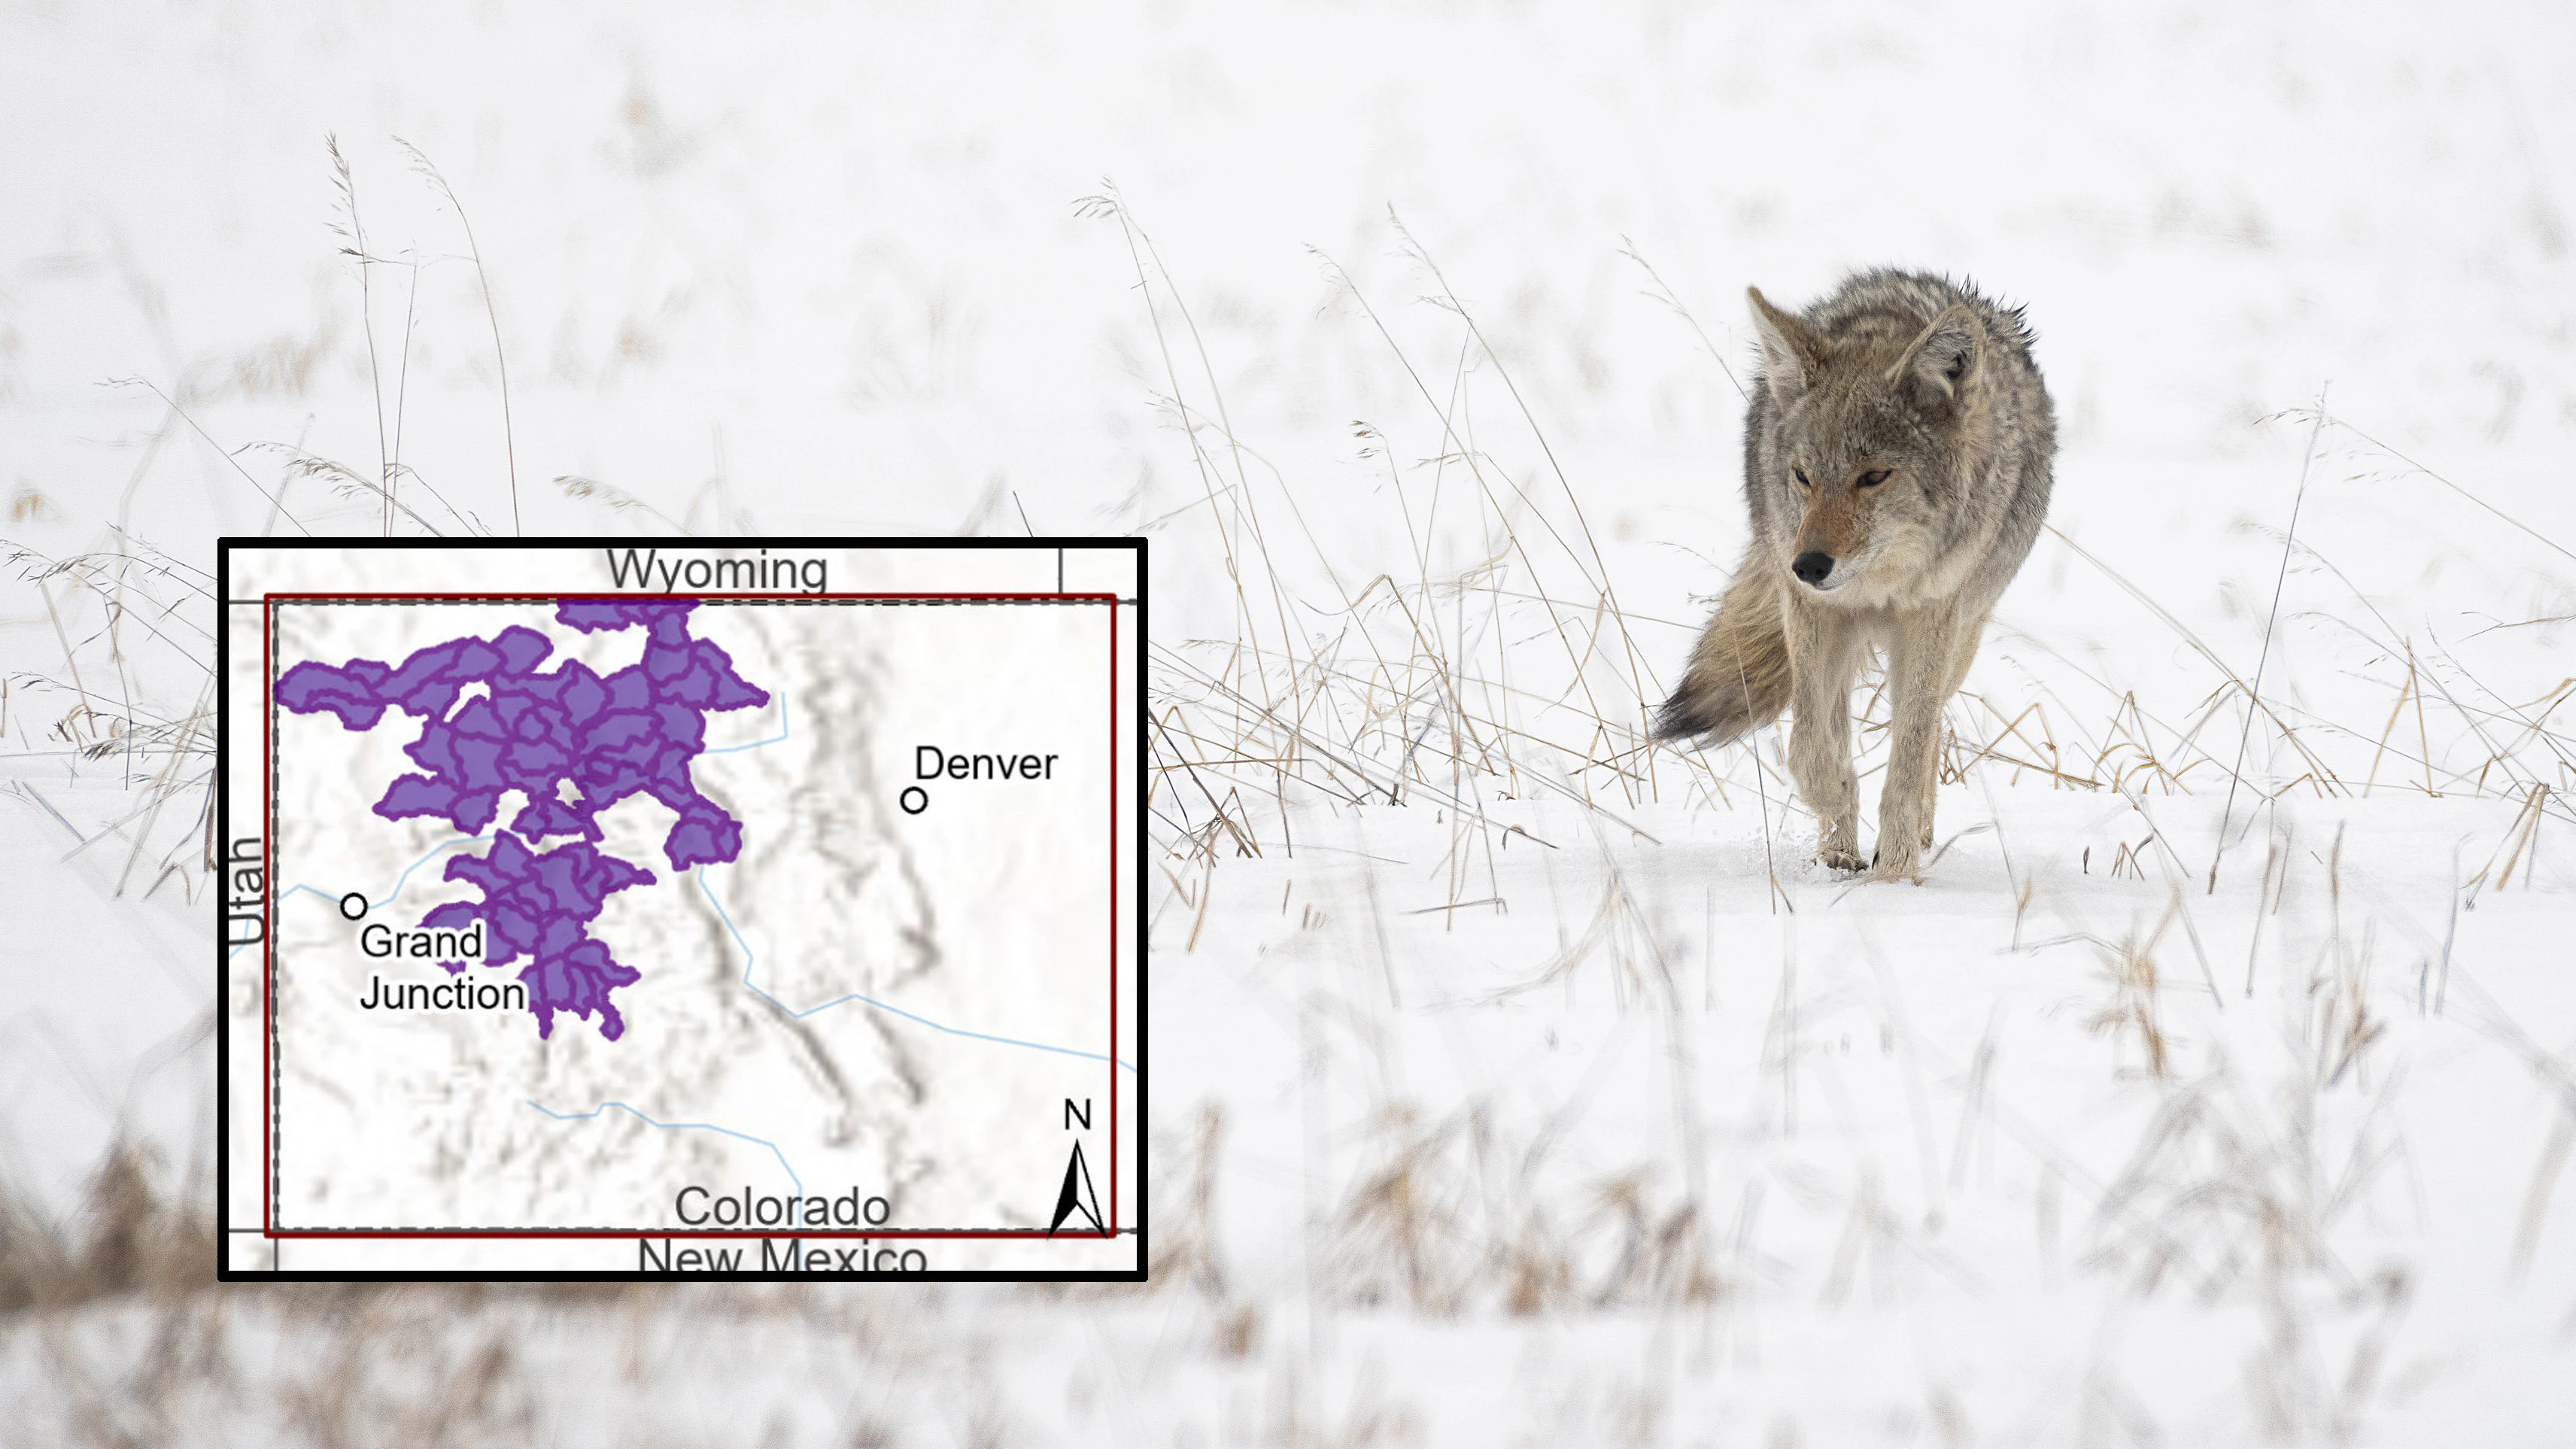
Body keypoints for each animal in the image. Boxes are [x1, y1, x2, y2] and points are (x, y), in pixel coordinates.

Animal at [1652, 269, 2055, 880]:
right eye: (1803, 476)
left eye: (1873, 477)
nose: (1809, 565)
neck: (1878, 585)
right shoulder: (1815, 615)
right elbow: (1810, 748)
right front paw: (1838, 810)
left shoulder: (1930, 621)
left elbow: (1908, 758)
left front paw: (1895, 874)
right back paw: (1839, 851)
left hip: (1962, 639)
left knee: (1933, 727)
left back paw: (1918, 837)